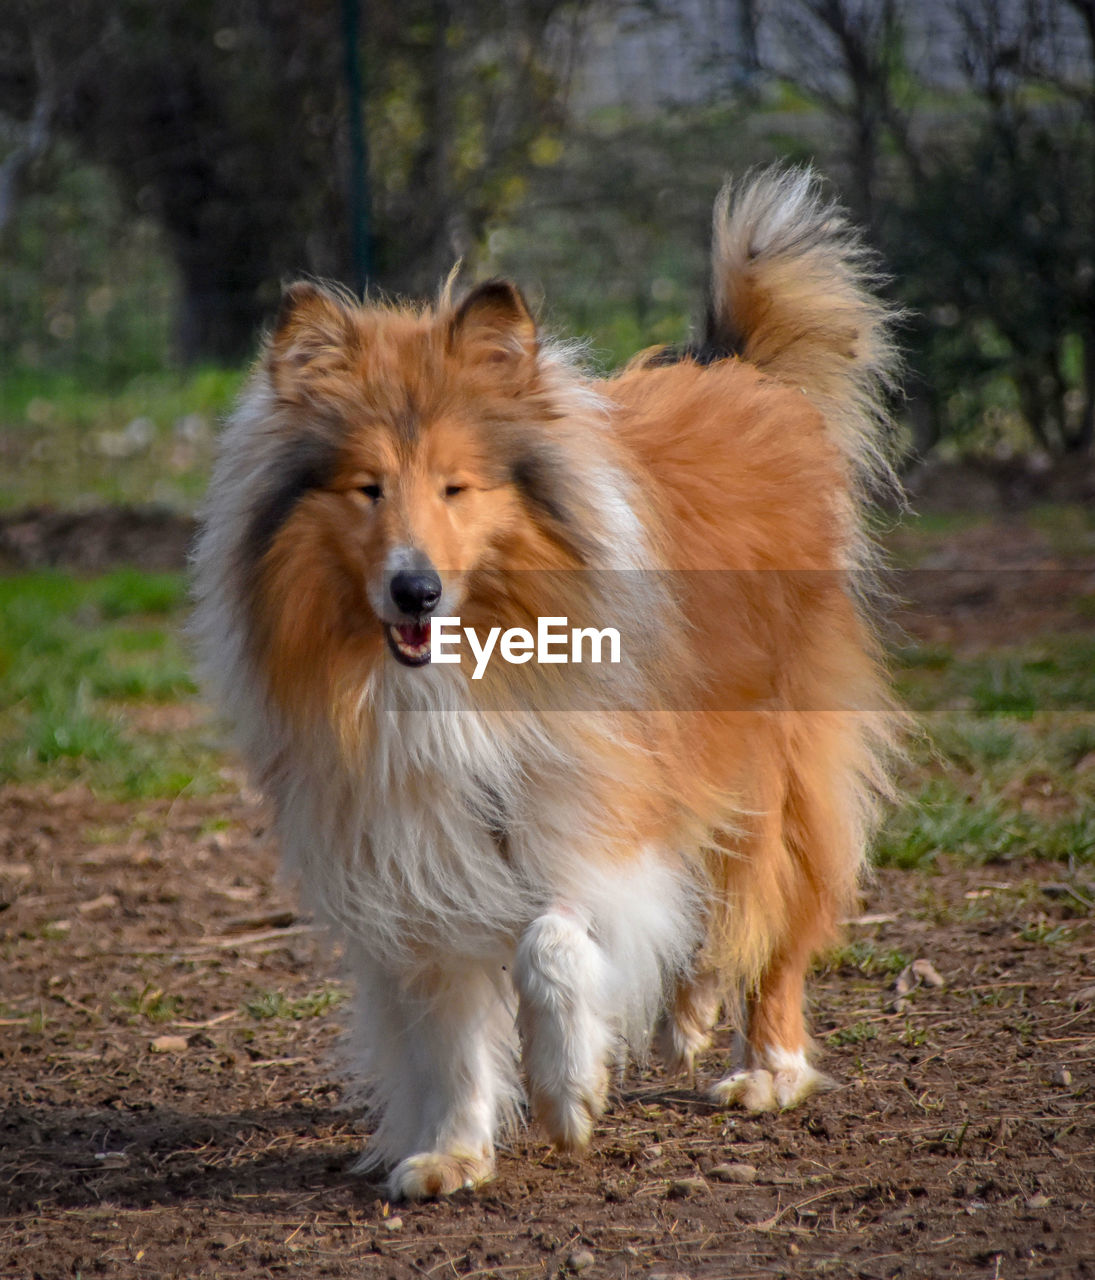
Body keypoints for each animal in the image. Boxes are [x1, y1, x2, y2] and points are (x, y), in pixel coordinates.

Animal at [192, 167, 901, 1198]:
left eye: (456, 486)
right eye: (367, 487)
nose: (415, 588)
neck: (465, 665)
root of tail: (738, 374)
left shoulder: (601, 804)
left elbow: (553, 940)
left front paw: (568, 1087)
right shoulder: (418, 842)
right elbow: (449, 1023)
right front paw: (452, 1151)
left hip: (773, 762)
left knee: (770, 910)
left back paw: (768, 1066)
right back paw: (686, 1015)